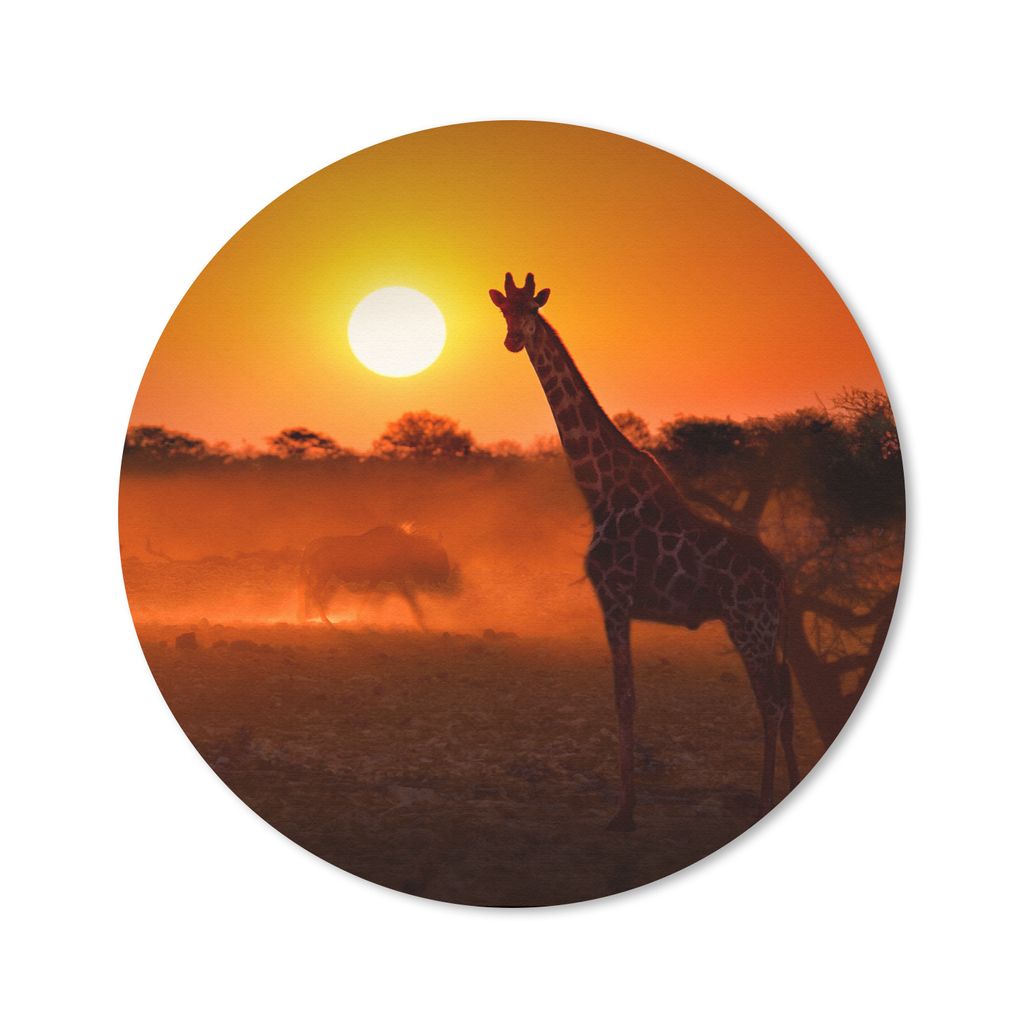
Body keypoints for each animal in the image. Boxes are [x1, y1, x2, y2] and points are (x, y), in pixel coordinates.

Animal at [490, 273, 799, 831]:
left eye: (532, 309)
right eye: (505, 311)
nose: (513, 340)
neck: (599, 491)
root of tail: (781, 578)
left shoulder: (613, 597)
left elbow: (625, 698)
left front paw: (624, 811)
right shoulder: (620, 604)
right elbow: (626, 697)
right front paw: (626, 806)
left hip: (750, 625)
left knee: (771, 705)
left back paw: (764, 801)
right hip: (767, 630)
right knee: (784, 700)